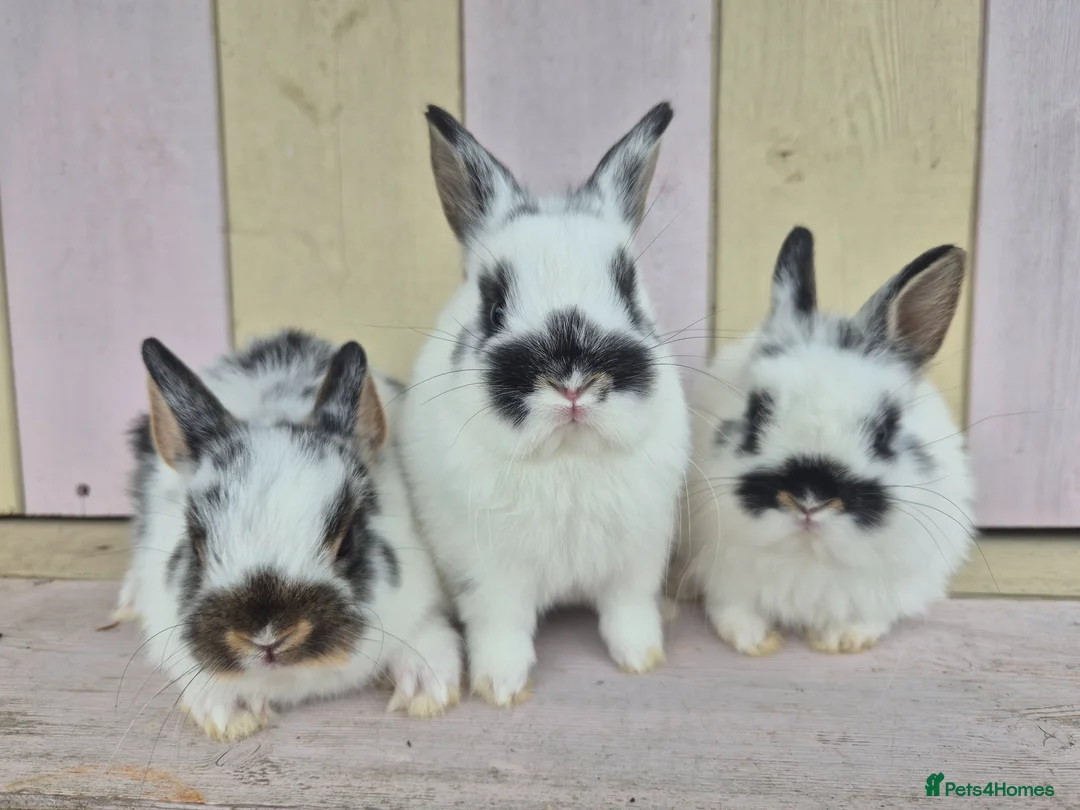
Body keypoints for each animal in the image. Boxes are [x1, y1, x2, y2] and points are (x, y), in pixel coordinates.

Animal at [112, 330, 462, 742]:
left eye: (347, 541)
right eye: (196, 546)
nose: (268, 637)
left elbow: (427, 633)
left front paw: (427, 690)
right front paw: (231, 713)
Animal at [398, 102, 691, 707]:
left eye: (629, 290)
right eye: (493, 304)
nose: (573, 382)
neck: (567, 454)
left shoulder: (638, 558)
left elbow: (627, 611)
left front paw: (641, 659)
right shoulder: (488, 575)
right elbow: (501, 629)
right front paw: (499, 687)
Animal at [669, 226, 975, 656]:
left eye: (883, 430)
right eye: (757, 414)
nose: (808, 499)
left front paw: (843, 640)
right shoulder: (725, 571)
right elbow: (734, 607)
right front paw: (752, 640)